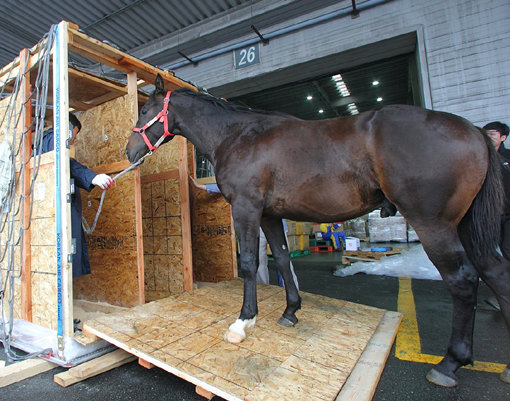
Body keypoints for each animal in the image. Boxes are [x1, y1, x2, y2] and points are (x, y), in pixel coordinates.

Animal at [126, 75, 510, 388]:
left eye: (145, 109)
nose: (129, 151)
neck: (238, 136)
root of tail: (473, 131)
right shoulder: (270, 215)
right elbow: (282, 259)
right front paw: (291, 311)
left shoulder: (247, 209)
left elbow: (249, 264)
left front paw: (243, 322)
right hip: (466, 228)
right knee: (495, 272)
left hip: (434, 224)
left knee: (463, 280)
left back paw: (449, 364)